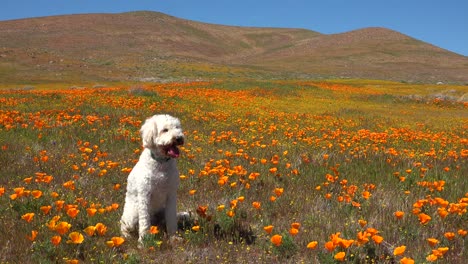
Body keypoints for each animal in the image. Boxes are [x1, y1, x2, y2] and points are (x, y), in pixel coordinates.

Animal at [121, 114, 189, 244]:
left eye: (177, 128)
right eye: (165, 130)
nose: (179, 138)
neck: (161, 164)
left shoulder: (171, 194)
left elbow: (171, 220)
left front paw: (173, 237)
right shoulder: (144, 195)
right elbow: (144, 222)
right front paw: (144, 241)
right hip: (132, 215)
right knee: (124, 226)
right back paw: (126, 236)